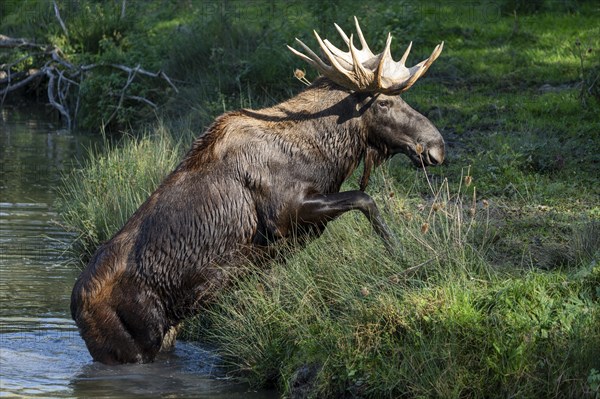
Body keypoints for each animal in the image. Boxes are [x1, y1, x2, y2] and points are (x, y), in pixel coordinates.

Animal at [70, 19, 446, 366]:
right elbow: (365, 199)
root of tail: (76, 312)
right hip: (130, 349)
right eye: (382, 103)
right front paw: (397, 253)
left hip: (167, 335)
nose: (437, 146)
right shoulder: (285, 214)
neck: (326, 155)